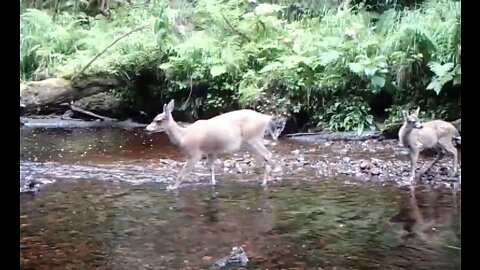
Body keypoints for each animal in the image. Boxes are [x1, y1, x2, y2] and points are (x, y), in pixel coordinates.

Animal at [145, 99, 278, 190]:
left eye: (158, 120)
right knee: (262, 157)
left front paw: (172, 187)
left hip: (252, 138)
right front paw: (213, 183)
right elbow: (210, 168)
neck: (183, 135)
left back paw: (264, 183)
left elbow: (182, 173)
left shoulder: (194, 153)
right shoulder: (211, 152)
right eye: (154, 117)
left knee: (268, 155)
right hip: (253, 140)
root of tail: (267, 118)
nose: (147, 129)